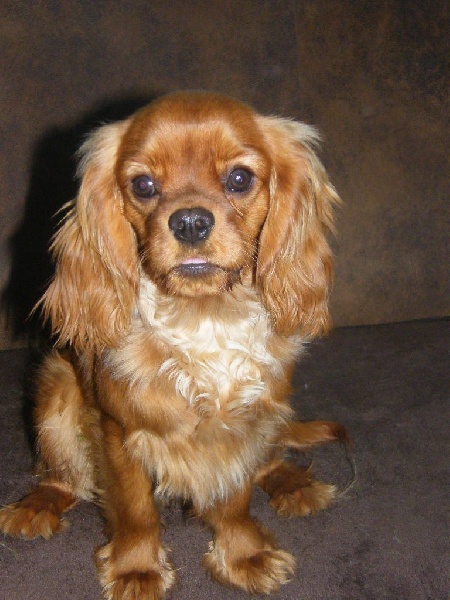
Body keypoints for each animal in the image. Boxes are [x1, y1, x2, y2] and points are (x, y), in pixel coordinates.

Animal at [0, 91, 345, 598]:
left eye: (239, 178)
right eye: (143, 185)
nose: (190, 222)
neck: (205, 318)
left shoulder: (242, 425)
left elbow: (237, 497)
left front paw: (244, 555)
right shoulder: (119, 430)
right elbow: (136, 510)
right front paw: (137, 570)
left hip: (274, 412)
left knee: (270, 460)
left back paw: (292, 485)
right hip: (56, 390)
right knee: (61, 476)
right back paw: (36, 505)